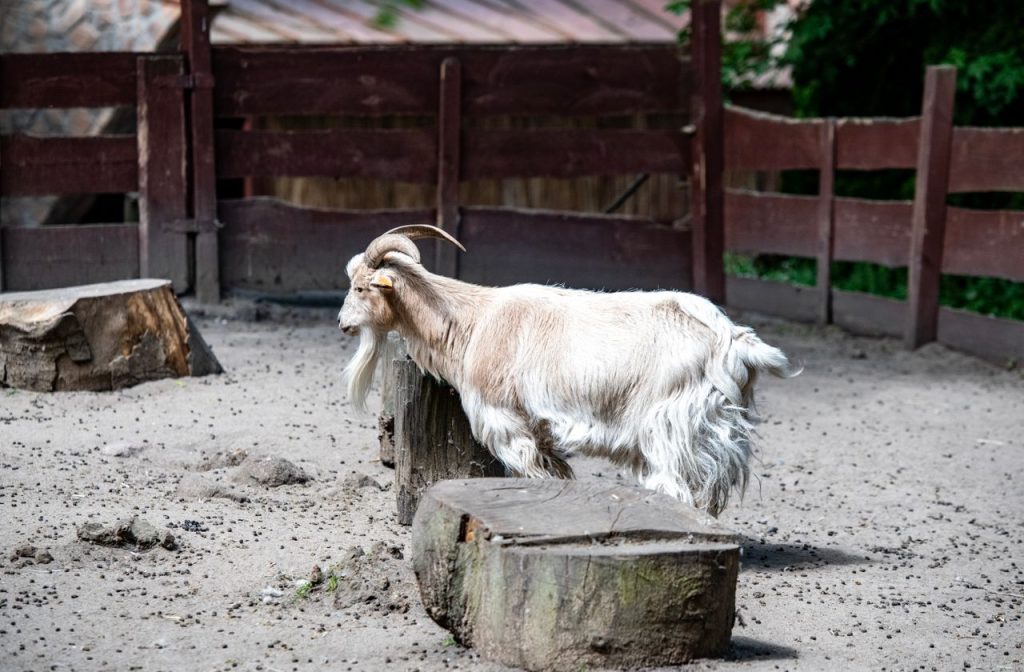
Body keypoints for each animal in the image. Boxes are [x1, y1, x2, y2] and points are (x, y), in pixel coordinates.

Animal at [338, 225, 799, 516]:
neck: (473, 320)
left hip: (671, 424)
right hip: (716, 428)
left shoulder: (504, 419)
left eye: (361, 287)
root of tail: (732, 340)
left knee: (677, 485)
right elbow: (555, 472)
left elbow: (531, 471)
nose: (342, 323)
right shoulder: (539, 427)